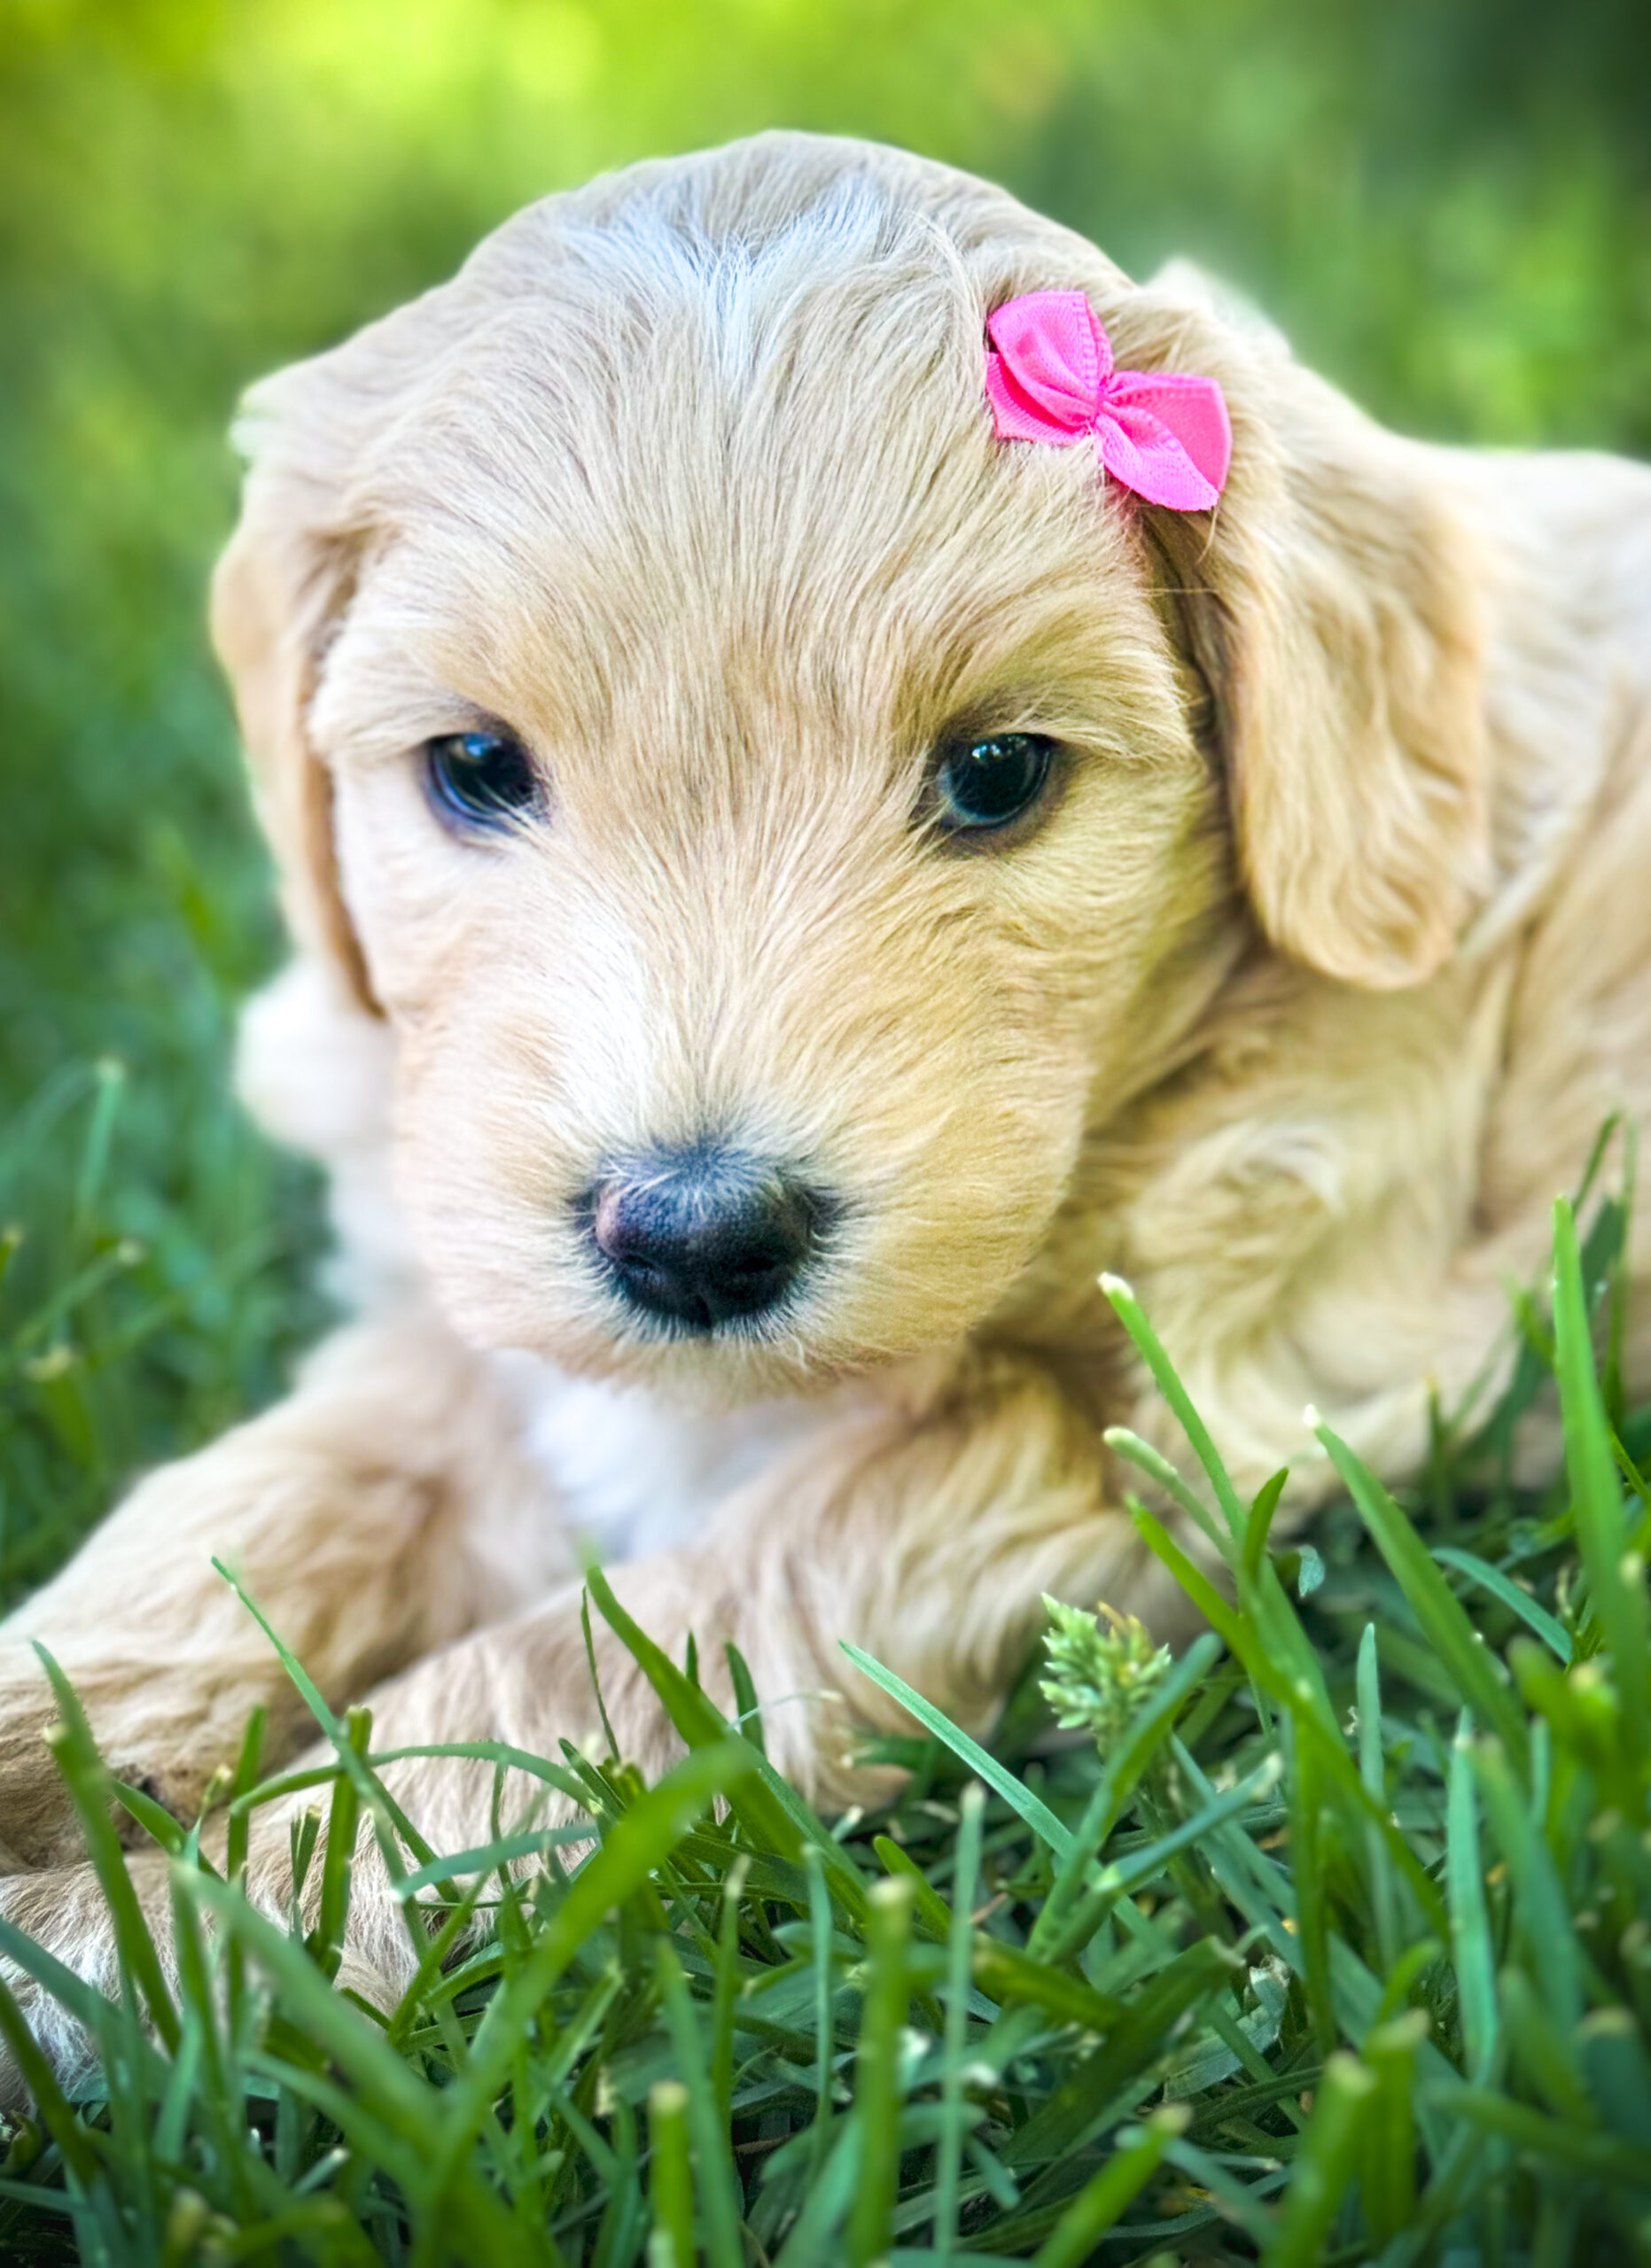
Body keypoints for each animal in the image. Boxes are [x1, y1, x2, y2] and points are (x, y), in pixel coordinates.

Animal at [3, 128, 1650, 2059]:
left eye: (998, 770)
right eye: (474, 766)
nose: (693, 1239)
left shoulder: (1111, 1438)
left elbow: (574, 1676)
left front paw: (146, 1942)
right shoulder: (470, 1305)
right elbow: (250, 1514)